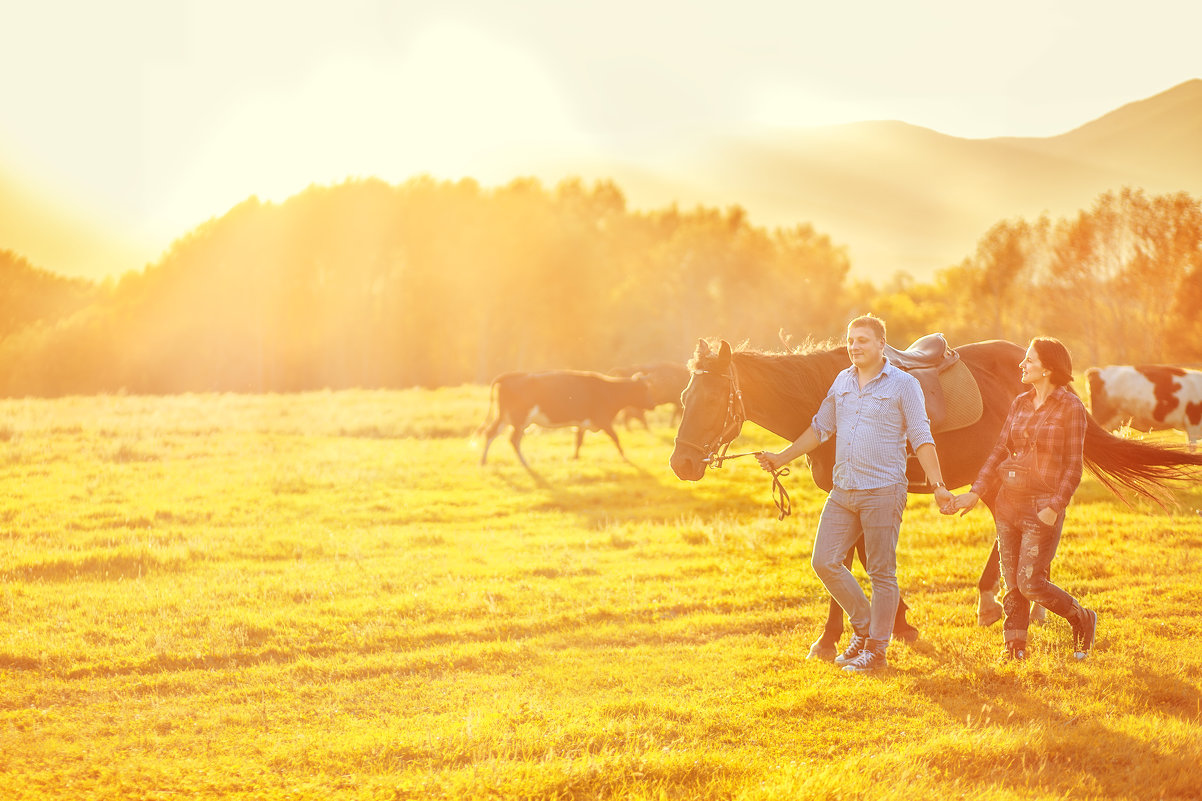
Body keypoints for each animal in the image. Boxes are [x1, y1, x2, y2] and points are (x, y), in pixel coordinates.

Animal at [475, 370, 653, 469]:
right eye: (645, 389)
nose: (652, 404)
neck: (609, 390)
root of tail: (511, 376)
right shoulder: (602, 420)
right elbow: (616, 438)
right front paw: (625, 458)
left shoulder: (582, 423)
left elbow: (578, 441)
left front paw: (575, 459)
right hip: (519, 418)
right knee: (513, 439)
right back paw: (524, 463)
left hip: (504, 416)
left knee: (491, 433)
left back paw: (483, 461)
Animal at [673, 334, 1202, 654]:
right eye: (683, 398)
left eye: (715, 400)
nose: (681, 464)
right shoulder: (849, 491)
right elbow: (850, 559)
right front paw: (871, 628)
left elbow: (851, 561)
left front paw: (866, 631)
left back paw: (999, 602)